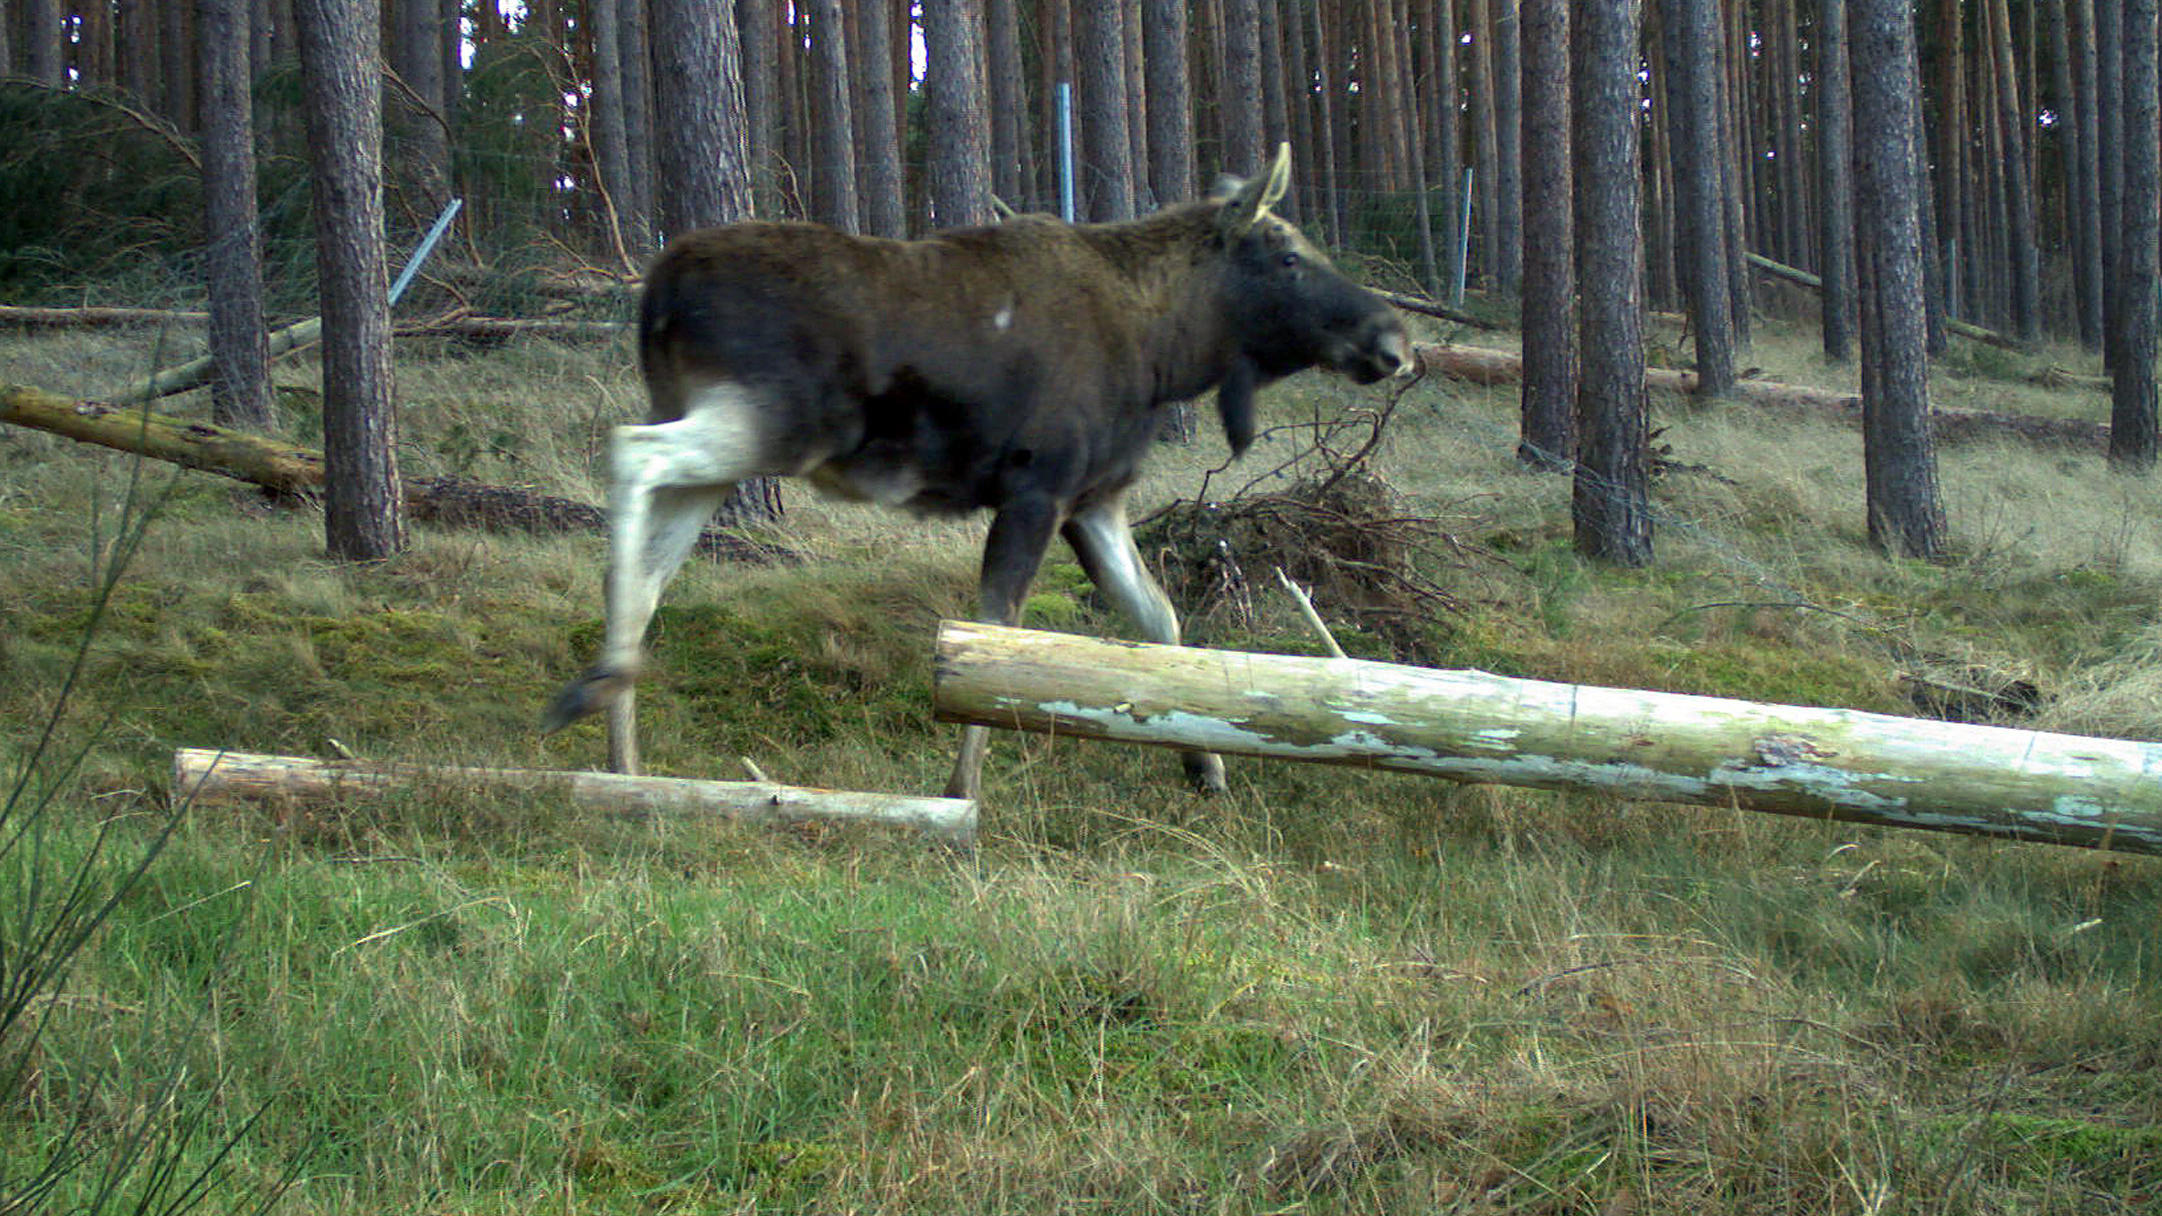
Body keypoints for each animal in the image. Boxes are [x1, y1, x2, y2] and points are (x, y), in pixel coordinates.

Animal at [549, 147, 1409, 800]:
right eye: (1291, 256)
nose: (1393, 338)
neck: (1166, 354)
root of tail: (656, 293)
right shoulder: (1038, 486)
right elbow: (997, 636)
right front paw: (961, 793)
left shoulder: (1094, 499)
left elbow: (1159, 619)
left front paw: (1206, 768)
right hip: (770, 422)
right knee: (629, 453)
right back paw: (594, 688)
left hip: (727, 445)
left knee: (644, 575)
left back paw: (623, 757)